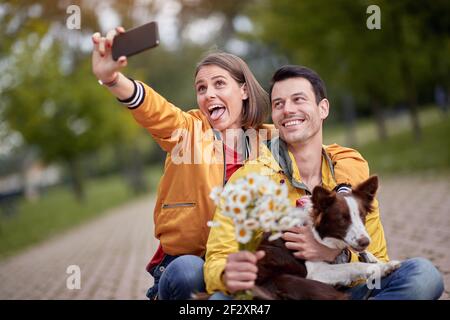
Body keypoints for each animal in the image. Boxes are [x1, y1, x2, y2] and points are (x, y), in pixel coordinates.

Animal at [253, 175, 400, 300]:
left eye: (362, 216)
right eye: (342, 219)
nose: (365, 242)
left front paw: (375, 259)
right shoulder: (316, 272)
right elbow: (353, 265)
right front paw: (384, 267)